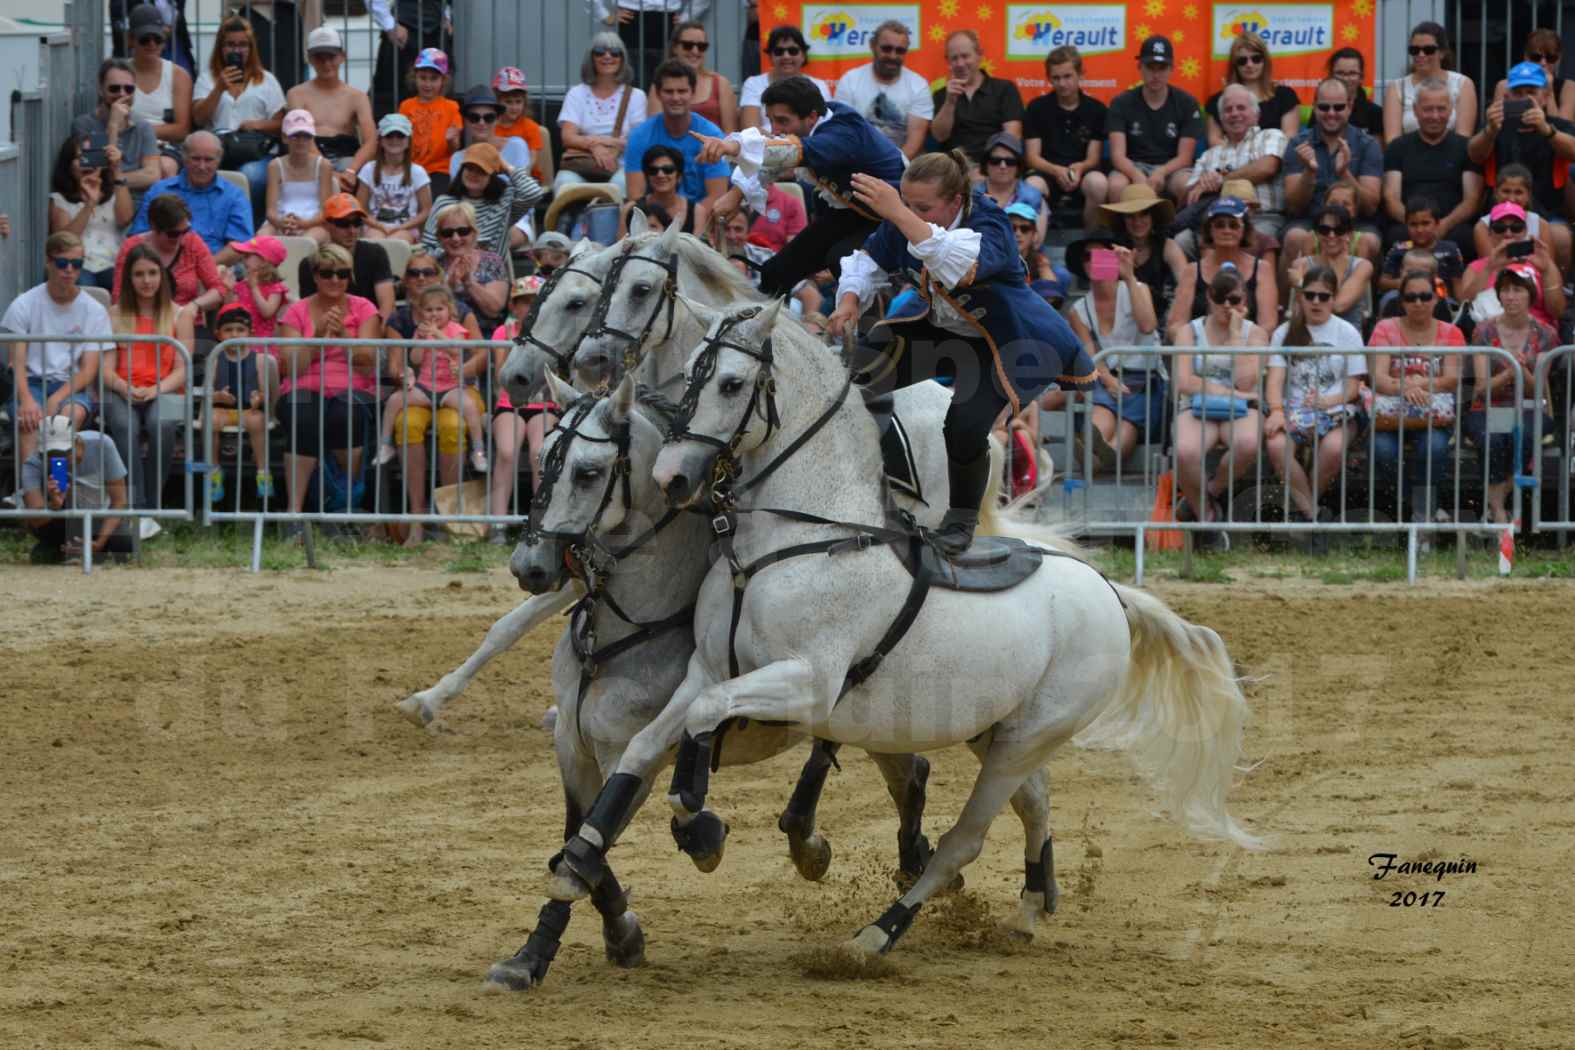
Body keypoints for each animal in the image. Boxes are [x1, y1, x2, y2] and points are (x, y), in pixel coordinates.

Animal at [541, 302, 1266, 963]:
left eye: (729, 383)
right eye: (689, 371)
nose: (672, 476)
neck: (792, 541)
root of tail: (1108, 591)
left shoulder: (807, 684)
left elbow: (703, 721)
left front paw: (698, 824)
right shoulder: (710, 670)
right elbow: (653, 740)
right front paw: (594, 857)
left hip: (1028, 736)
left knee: (965, 840)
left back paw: (876, 936)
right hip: (996, 728)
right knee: (1033, 801)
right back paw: (1031, 905)